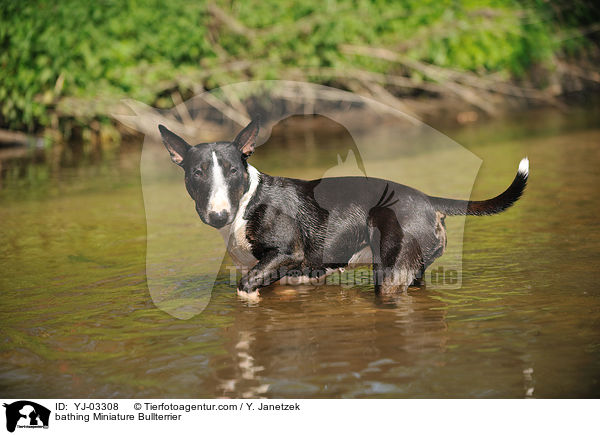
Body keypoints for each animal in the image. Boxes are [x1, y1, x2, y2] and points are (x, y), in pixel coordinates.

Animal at [157, 117, 528, 298]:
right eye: (197, 173)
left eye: (233, 169)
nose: (217, 215)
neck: (248, 199)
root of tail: (427, 199)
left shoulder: (286, 254)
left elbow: (246, 287)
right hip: (415, 267)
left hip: (391, 274)